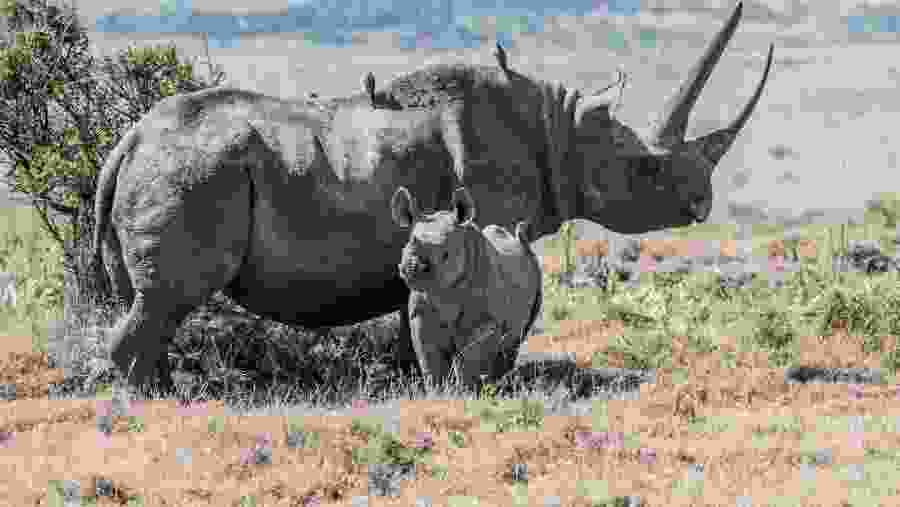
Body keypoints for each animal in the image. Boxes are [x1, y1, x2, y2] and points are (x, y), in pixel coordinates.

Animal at [392, 186, 542, 388]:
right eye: (406, 246)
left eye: (446, 255)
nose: (412, 268)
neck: (442, 291)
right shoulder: (420, 316)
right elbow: (430, 362)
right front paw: (438, 391)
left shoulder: (483, 322)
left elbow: (469, 362)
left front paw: (468, 391)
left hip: (534, 267)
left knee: (516, 337)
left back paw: (502, 382)